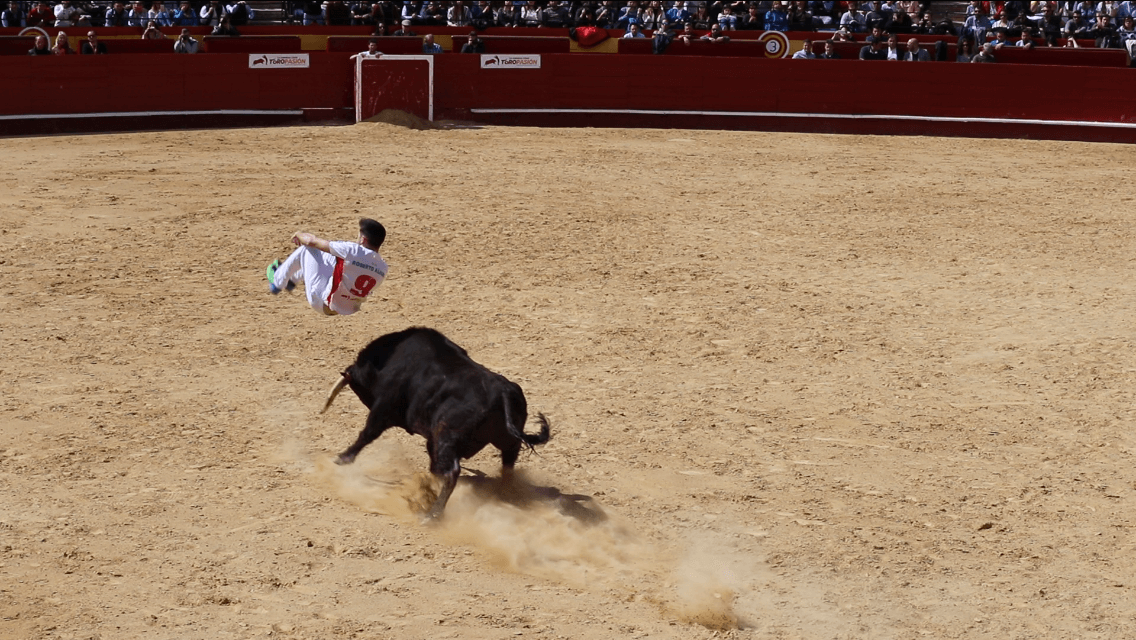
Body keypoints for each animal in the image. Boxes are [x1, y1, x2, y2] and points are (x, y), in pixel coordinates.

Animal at [320, 327, 549, 518]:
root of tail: (502, 394)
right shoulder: (431, 437)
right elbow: (432, 461)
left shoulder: (384, 408)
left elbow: (367, 434)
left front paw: (342, 458)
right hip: (503, 441)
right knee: (508, 464)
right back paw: (503, 493)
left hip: (447, 436)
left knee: (452, 472)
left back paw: (433, 514)